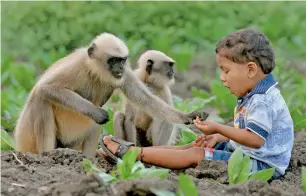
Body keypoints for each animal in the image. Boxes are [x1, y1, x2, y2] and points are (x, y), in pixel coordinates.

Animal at [13, 32, 208, 158]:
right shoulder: (77, 65)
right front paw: (96, 111)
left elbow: (145, 100)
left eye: (122, 60)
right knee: (41, 99)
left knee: (93, 125)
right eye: (113, 60)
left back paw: (87, 161)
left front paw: (189, 116)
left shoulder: (125, 74)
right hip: (28, 139)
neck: (95, 71)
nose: (120, 67)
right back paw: (47, 156)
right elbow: (45, 88)